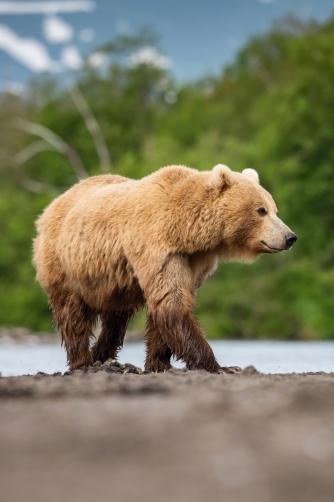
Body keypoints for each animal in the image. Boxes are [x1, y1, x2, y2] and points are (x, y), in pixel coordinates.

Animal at [32, 165, 296, 372]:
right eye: (260, 210)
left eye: (274, 209)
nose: (290, 237)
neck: (187, 233)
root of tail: (52, 206)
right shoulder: (157, 246)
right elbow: (171, 302)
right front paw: (220, 366)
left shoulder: (194, 262)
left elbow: (170, 305)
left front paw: (159, 363)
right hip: (65, 264)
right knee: (73, 315)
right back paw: (83, 361)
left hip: (117, 281)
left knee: (117, 316)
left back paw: (102, 355)